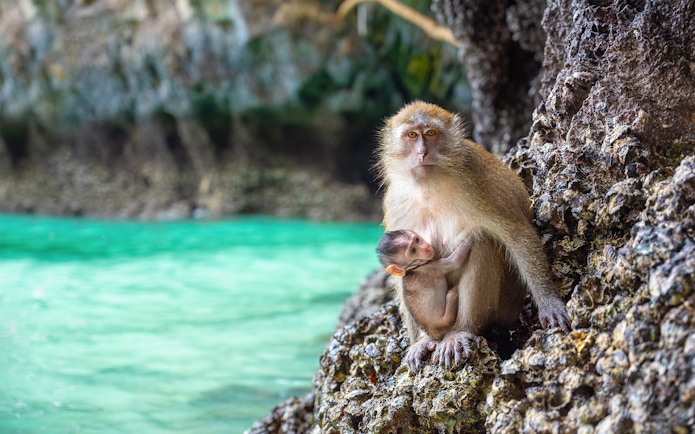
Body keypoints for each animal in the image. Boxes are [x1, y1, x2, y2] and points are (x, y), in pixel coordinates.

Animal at [376, 230, 473, 371]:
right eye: (413, 251)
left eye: (417, 240)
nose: (426, 248)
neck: (411, 269)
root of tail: (433, 332)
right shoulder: (429, 268)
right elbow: (454, 261)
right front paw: (470, 238)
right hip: (445, 320)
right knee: (451, 295)